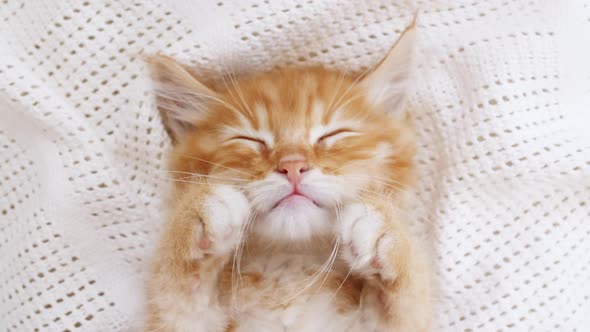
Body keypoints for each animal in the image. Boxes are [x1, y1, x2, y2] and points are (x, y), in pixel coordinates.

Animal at [146, 20, 432, 332]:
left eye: (332, 135)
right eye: (250, 140)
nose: (292, 165)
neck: (291, 273)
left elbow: (408, 303)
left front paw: (385, 232)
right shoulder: (178, 322)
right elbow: (174, 295)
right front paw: (199, 210)